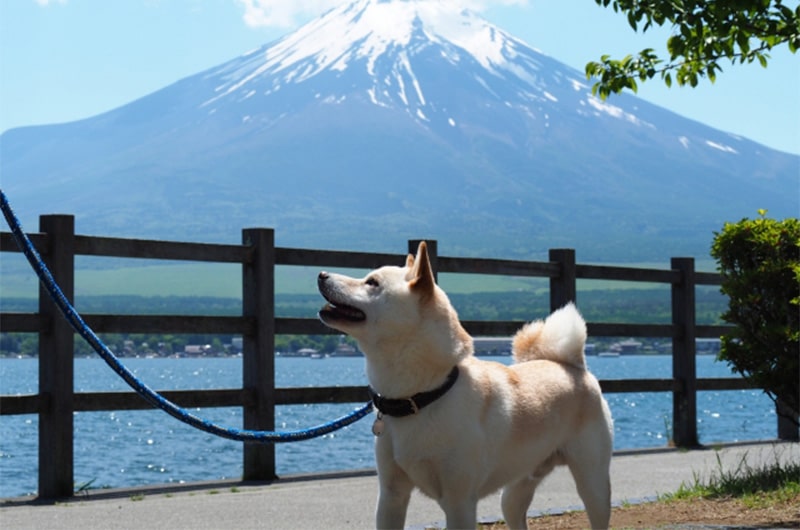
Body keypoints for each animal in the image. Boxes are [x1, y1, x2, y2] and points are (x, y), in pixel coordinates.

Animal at [318, 241, 612, 524]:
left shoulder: (458, 502)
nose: (322, 274)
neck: (421, 395)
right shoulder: (391, 496)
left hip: (593, 484)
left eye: (372, 282)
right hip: (515, 493)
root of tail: (573, 367)